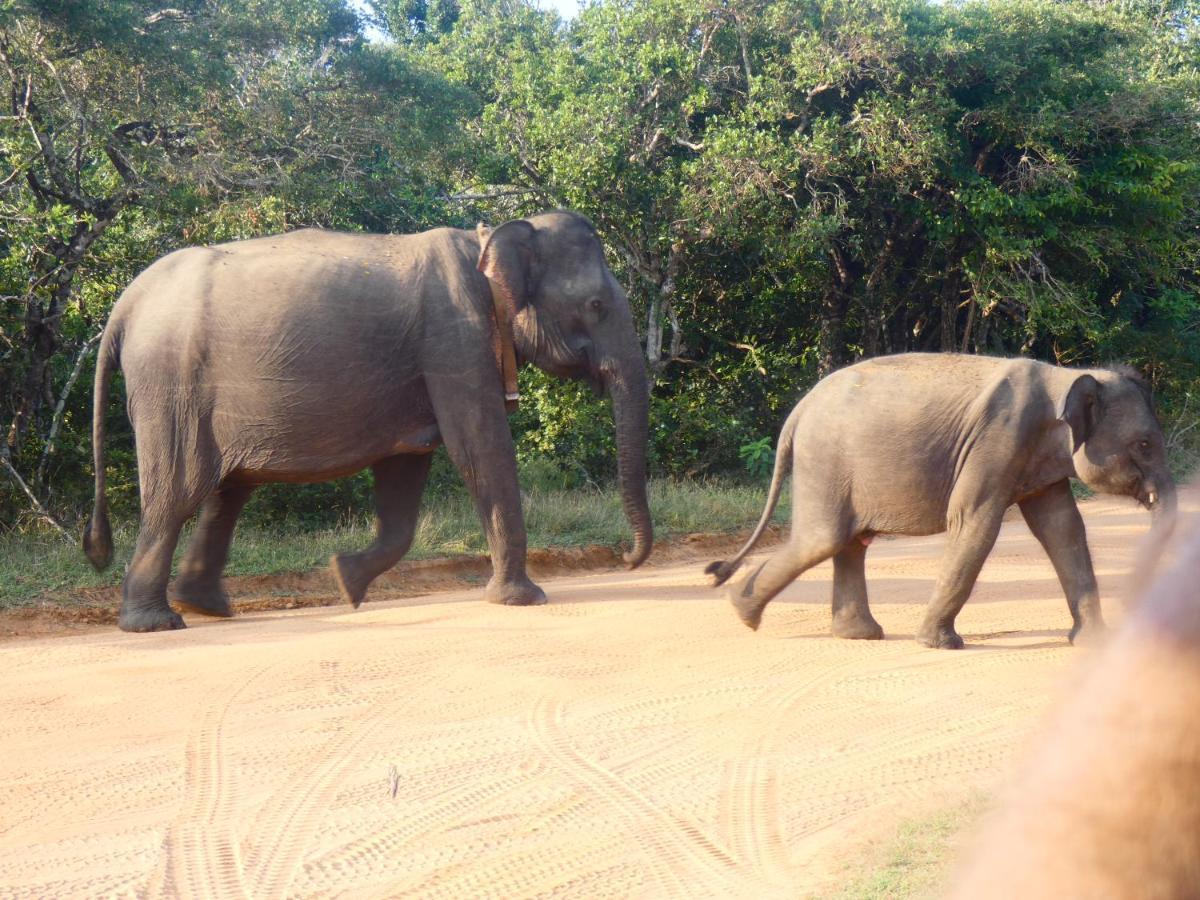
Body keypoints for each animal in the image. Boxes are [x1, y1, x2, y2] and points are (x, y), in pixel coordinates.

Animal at [82, 211, 657, 633]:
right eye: (596, 304)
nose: (627, 559)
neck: (489, 237)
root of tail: (124, 306)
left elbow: (408, 465)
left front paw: (345, 581)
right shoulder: (455, 339)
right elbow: (479, 446)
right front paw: (525, 600)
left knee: (229, 488)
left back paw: (205, 608)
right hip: (172, 385)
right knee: (178, 492)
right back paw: (157, 624)